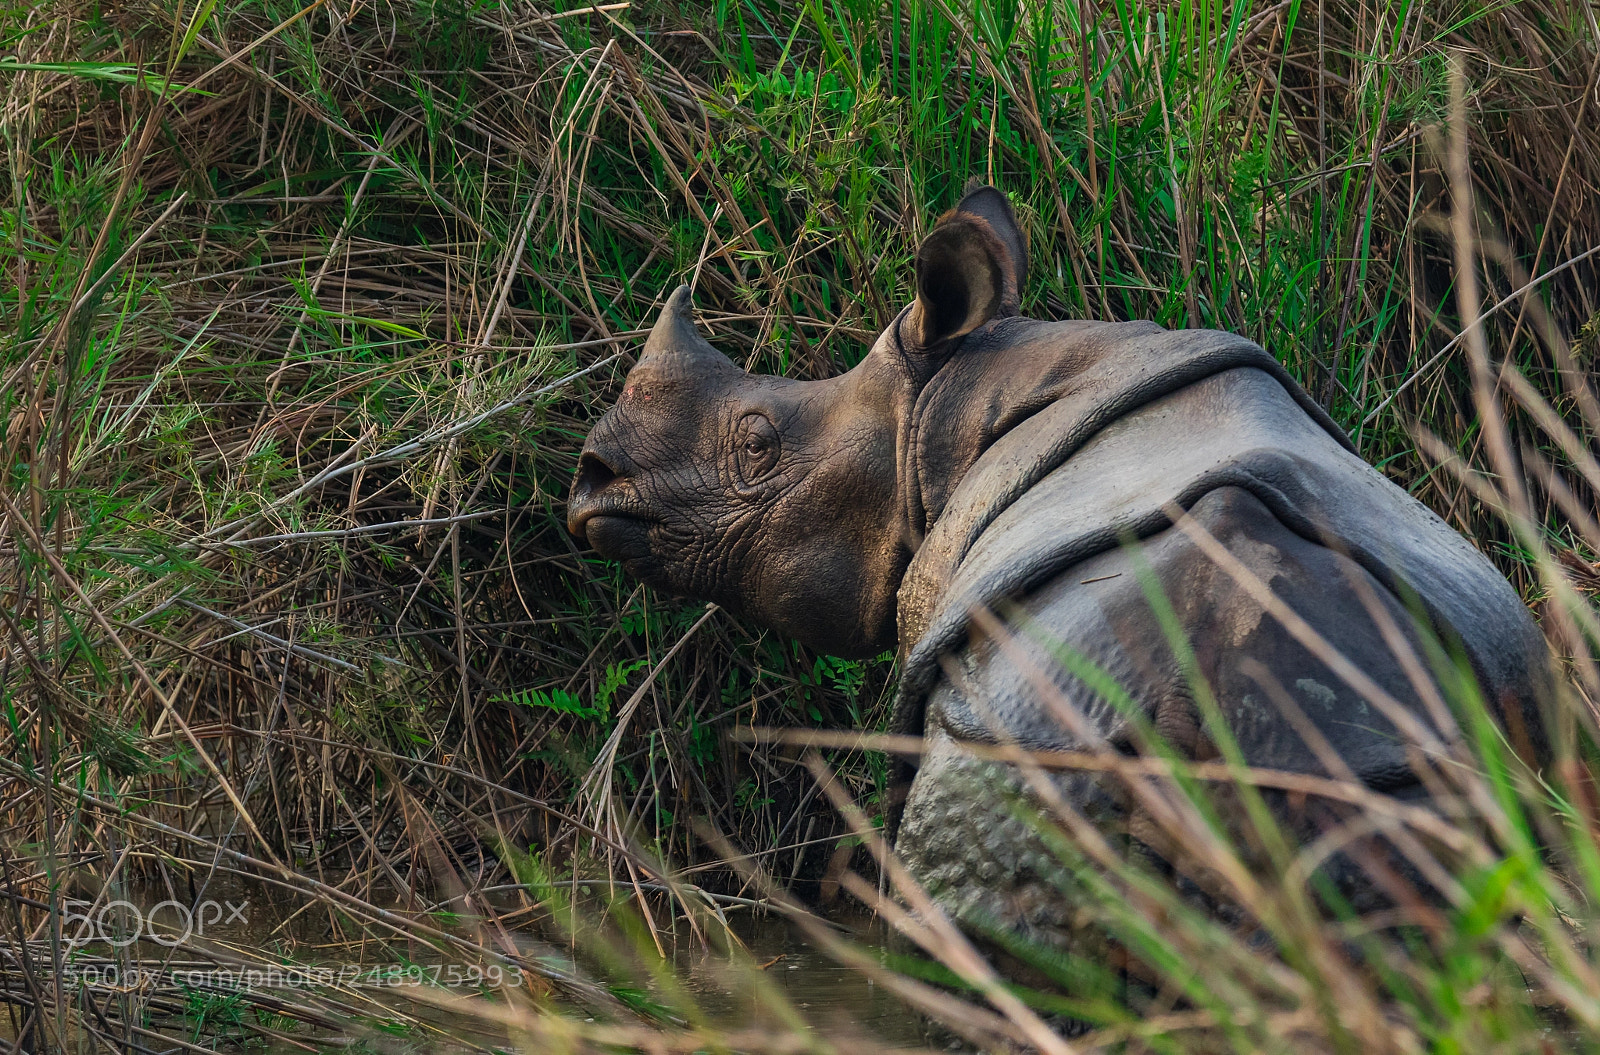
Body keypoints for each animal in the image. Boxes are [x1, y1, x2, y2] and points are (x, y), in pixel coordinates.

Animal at [566, 185, 1550, 941]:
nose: (590, 484)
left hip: (1032, 740)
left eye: (758, 443)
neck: (951, 404)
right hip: (1374, 787)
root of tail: (1204, 697)